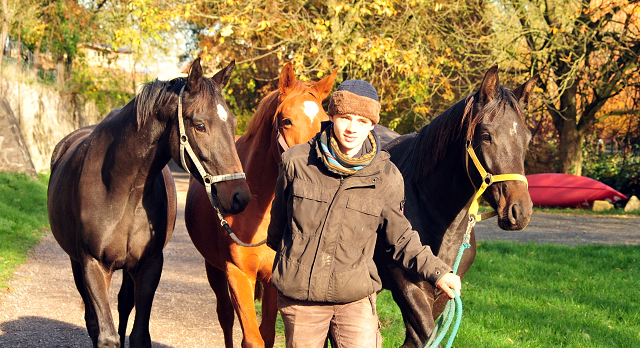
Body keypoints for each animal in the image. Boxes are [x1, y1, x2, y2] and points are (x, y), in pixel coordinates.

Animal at [46, 58, 251, 346]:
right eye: (200, 126)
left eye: (232, 124)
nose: (239, 196)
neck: (121, 191)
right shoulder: (93, 265)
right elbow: (105, 334)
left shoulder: (150, 265)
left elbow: (139, 334)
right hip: (76, 263)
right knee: (92, 317)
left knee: (123, 304)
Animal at [184, 63, 338, 348]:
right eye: (286, 120)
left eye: (324, 122)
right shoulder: (238, 275)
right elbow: (252, 338)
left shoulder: (274, 280)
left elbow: (267, 334)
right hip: (213, 268)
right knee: (225, 316)